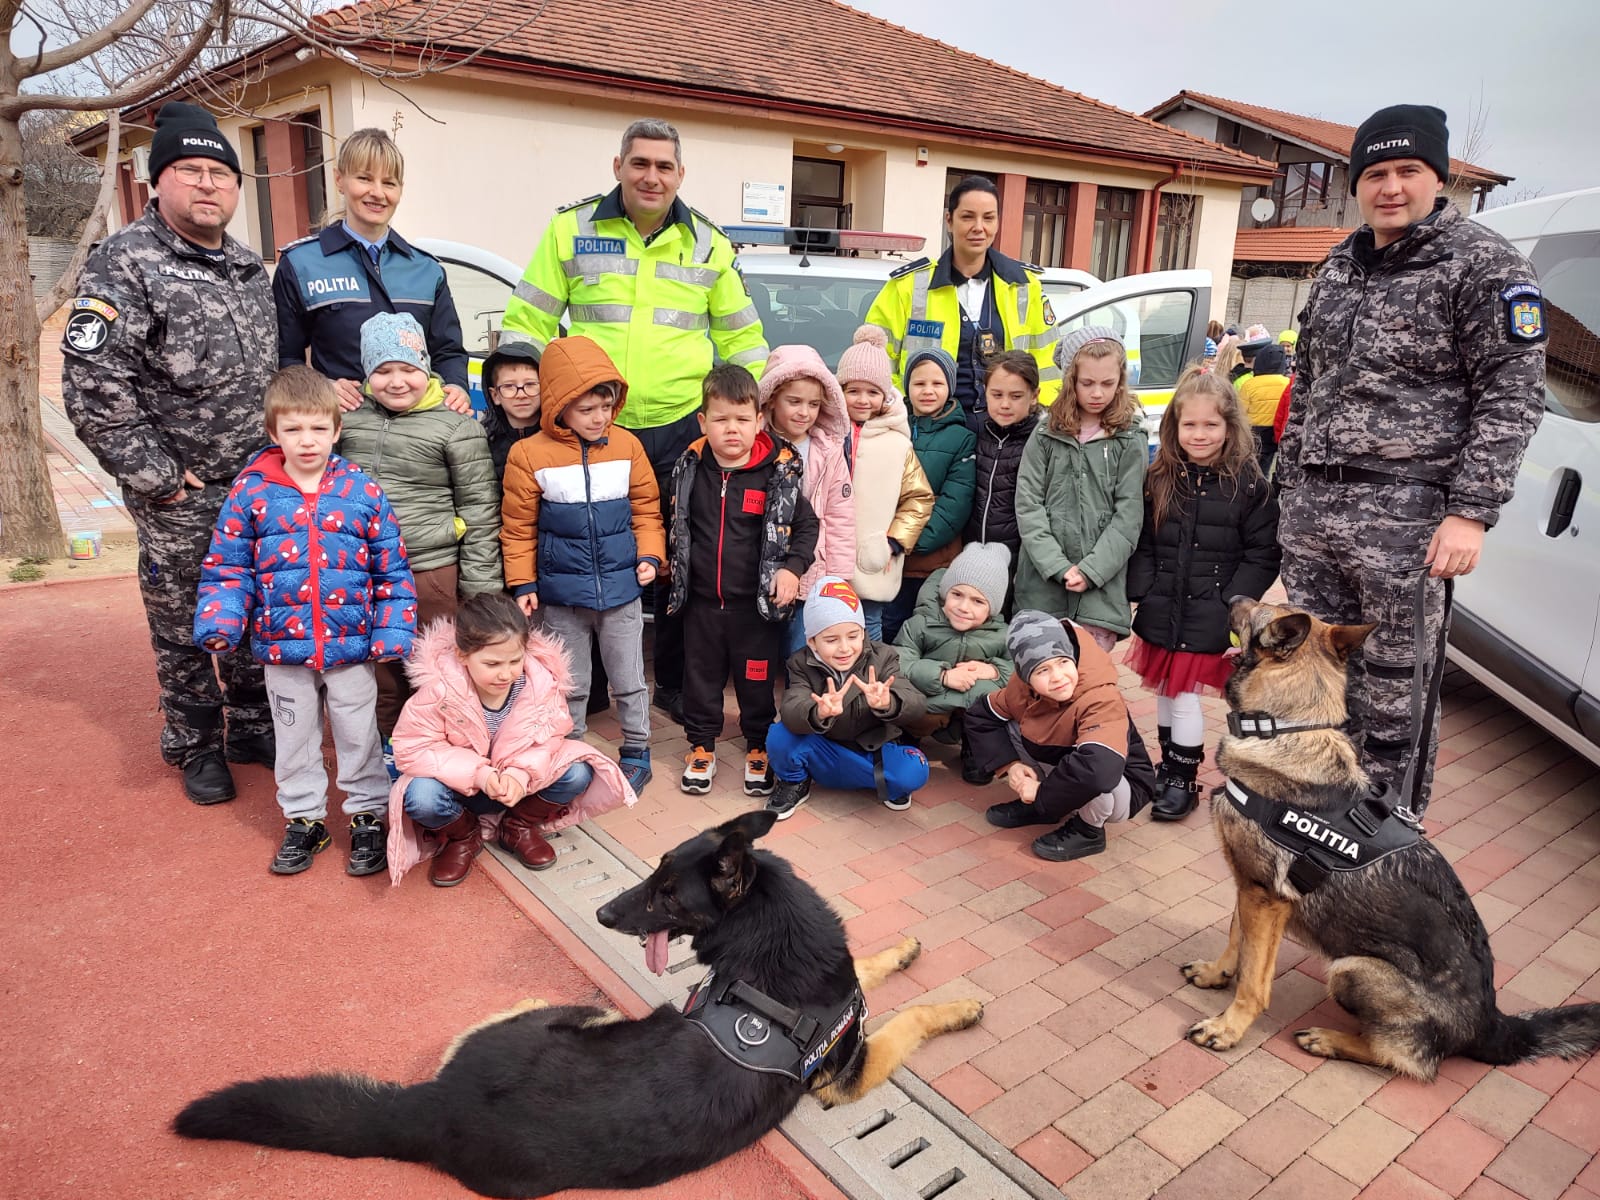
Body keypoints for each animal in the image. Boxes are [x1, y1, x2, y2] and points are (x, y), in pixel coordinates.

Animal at [174, 810, 983, 1197]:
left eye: (666, 891)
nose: (600, 916)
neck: (767, 929)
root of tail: (430, 1110)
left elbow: (873, 973)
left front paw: (904, 951)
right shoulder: (850, 1072)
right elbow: (906, 1017)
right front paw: (959, 1005)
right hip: (574, 1021)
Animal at [1181, 598, 1600, 1080]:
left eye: (1259, 609)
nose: (1230, 599)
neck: (1288, 728)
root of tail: (1494, 1025)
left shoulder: (1265, 899)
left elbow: (1254, 979)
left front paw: (1228, 1028)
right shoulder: (1250, 887)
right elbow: (1237, 941)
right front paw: (1216, 974)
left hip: (1351, 971)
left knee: (1407, 1059)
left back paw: (1330, 1039)